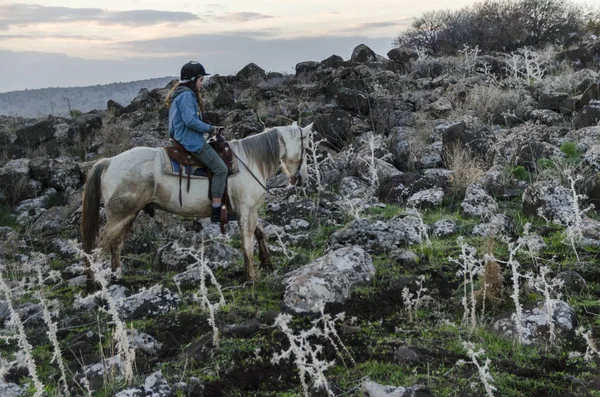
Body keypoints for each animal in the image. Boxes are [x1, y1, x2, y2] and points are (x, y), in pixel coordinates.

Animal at [82, 122, 314, 280]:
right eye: (306, 149)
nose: (303, 179)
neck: (249, 161)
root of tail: (109, 161)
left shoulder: (249, 210)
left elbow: (260, 233)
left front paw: (267, 263)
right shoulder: (246, 210)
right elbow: (247, 242)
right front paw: (252, 276)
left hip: (128, 215)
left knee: (116, 244)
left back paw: (117, 276)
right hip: (119, 216)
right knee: (98, 249)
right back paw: (97, 285)